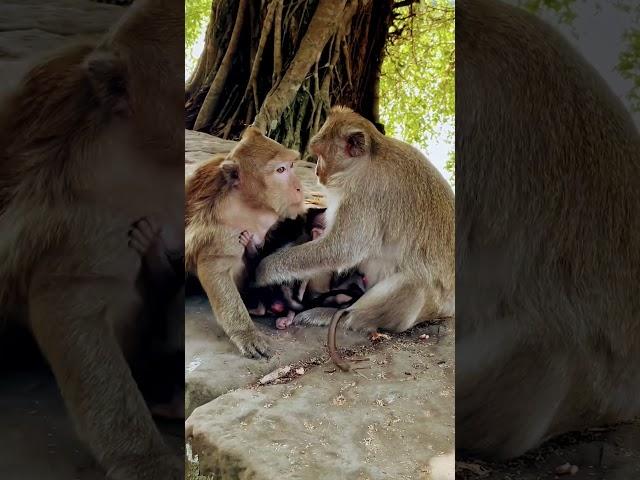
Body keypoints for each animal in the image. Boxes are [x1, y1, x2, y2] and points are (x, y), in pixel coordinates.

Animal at [185, 125, 304, 358]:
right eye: (281, 170)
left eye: (291, 166)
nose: (299, 187)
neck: (250, 205)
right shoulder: (224, 231)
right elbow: (214, 268)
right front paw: (246, 333)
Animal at [255, 106, 456, 344]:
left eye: (321, 154)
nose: (316, 171)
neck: (369, 159)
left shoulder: (364, 195)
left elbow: (341, 249)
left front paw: (264, 270)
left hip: (430, 306)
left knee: (415, 282)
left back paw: (340, 315)